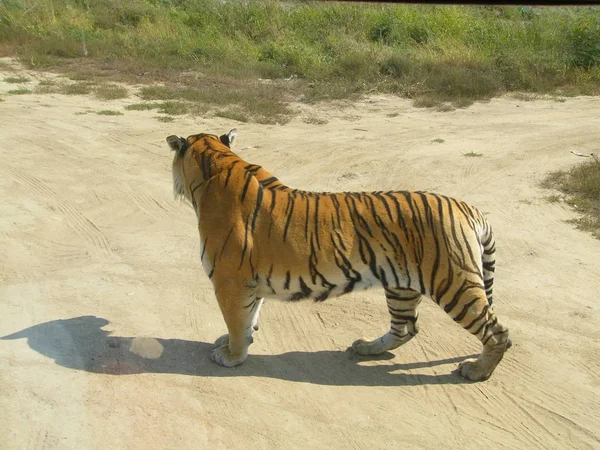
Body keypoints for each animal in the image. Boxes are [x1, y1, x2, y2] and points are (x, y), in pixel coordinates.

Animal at [168, 128, 510, 382]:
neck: (218, 161)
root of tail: (468, 208)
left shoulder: (230, 280)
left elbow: (237, 319)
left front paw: (232, 355)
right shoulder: (248, 281)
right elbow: (250, 316)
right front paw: (235, 343)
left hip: (453, 283)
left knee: (498, 332)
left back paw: (477, 370)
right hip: (402, 285)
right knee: (405, 328)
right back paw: (367, 348)